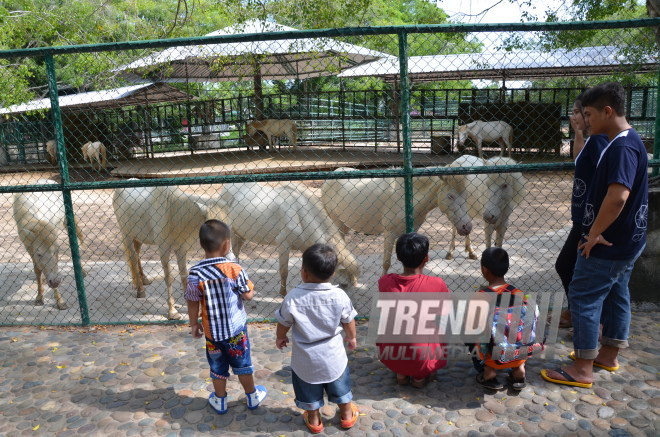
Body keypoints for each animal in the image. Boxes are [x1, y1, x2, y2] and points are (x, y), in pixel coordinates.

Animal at [12, 181, 85, 310]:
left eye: (57, 251)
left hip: (66, 222)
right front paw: (39, 298)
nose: (55, 282)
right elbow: (37, 270)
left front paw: (60, 302)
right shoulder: (28, 246)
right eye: (39, 254)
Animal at [113, 183, 227, 316]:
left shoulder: (181, 249)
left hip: (138, 237)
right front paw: (172, 311)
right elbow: (168, 277)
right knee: (133, 257)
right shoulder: (164, 249)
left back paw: (144, 280)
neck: (171, 212)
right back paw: (140, 290)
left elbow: (184, 276)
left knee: (136, 255)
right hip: (127, 235)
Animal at [220, 182, 356, 294]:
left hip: (239, 235)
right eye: (344, 283)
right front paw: (283, 293)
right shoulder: (283, 245)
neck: (299, 213)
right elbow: (284, 271)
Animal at [320, 169, 472, 274]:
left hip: (344, 224)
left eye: (466, 195)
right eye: (450, 196)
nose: (467, 226)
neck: (407, 197)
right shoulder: (389, 234)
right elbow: (386, 263)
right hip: (336, 222)